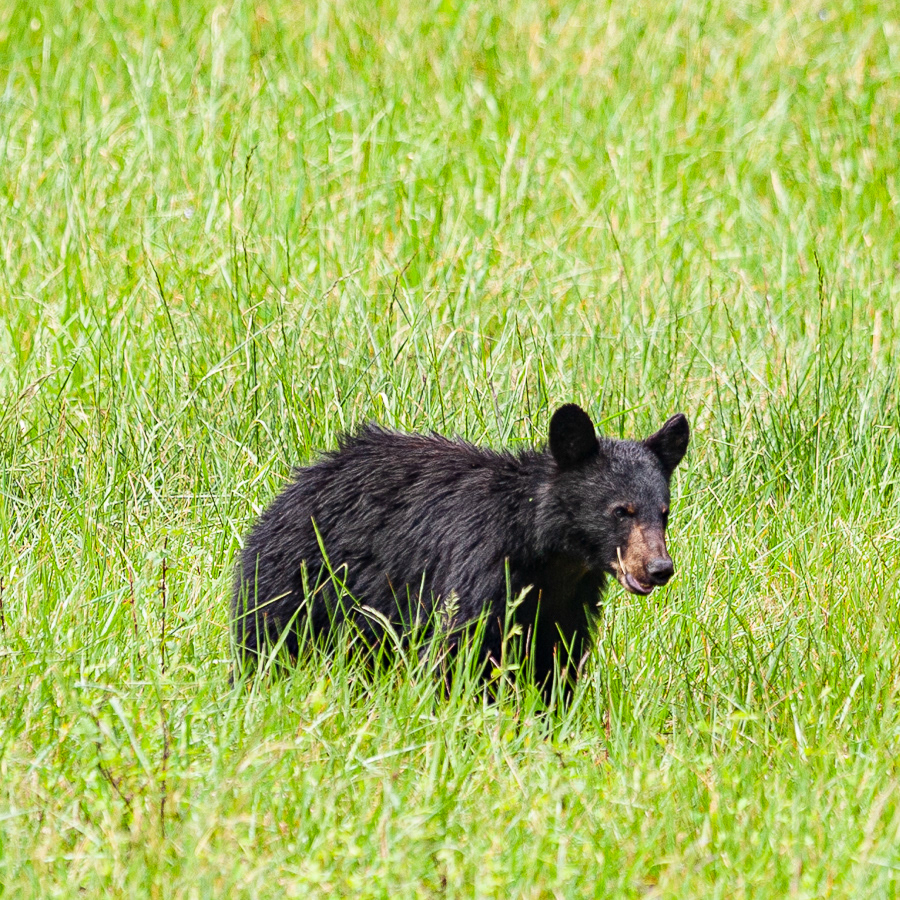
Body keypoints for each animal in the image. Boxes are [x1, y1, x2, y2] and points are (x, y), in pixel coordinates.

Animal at [232, 404, 689, 699]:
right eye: (621, 511)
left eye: (664, 512)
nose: (658, 568)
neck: (550, 556)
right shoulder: (478, 566)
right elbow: (458, 648)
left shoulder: (568, 600)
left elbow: (555, 659)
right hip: (300, 579)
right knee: (269, 638)